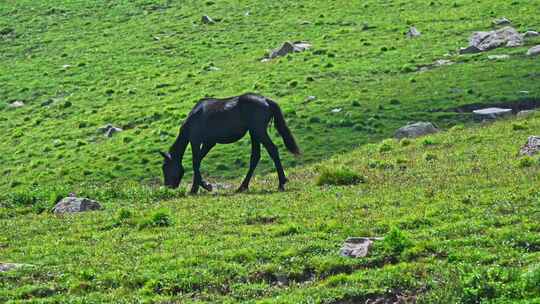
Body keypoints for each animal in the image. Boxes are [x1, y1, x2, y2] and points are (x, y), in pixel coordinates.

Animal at [160, 92, 300, 194]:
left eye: (165, 167)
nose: (168, 186)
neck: (194, 117)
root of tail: (266, 100)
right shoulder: (209, 142)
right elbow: (198, 162)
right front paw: (199, 186)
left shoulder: (196, 141)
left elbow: (195, 163)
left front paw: (202, 187)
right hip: (254, 133)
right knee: (255, 157)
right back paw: (243, 186)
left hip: (259, 131)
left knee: (272, 150)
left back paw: (281, 183)